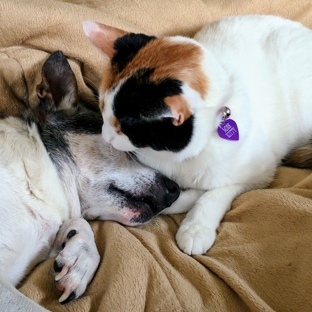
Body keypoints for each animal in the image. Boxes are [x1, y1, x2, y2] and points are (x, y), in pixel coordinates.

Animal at [82, 15, 312, 255]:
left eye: (124, 127)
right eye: (102, 108)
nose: (105, 136)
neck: (175, 159)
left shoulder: (261, 173)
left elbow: (216, 191)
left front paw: (196, 226)